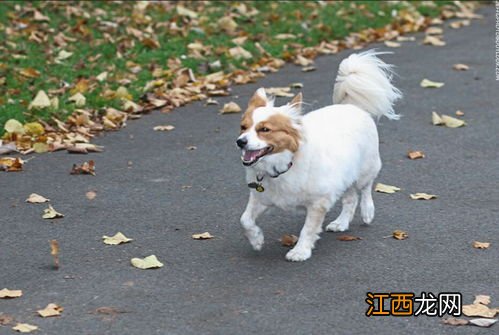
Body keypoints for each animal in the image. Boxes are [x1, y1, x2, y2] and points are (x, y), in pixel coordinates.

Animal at [236, 50, 404, 262]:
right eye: (243, 127)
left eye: (264, 129)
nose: (240, 141)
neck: (285, 164)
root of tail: (352, 107)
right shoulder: (261, 198)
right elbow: (245, 220)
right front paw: (257, 240)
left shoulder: (318, 202)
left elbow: (307, 229)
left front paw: (300, 251)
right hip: (345, 176)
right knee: (350, 200)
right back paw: (341, 223)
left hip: (365, 170)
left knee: (365, 190)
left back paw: (367, 212)